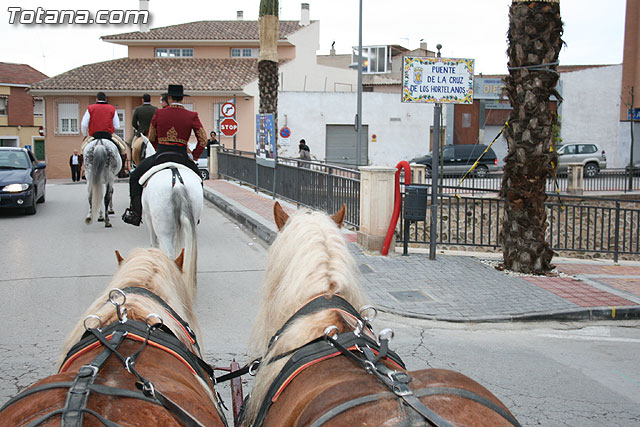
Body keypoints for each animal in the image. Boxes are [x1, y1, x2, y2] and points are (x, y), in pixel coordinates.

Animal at [136, 135, 201, 290]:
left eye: (141, 150)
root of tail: (177, 182)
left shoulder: (149, 218)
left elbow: (154, 242)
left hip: (163, 229)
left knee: (169, 254)